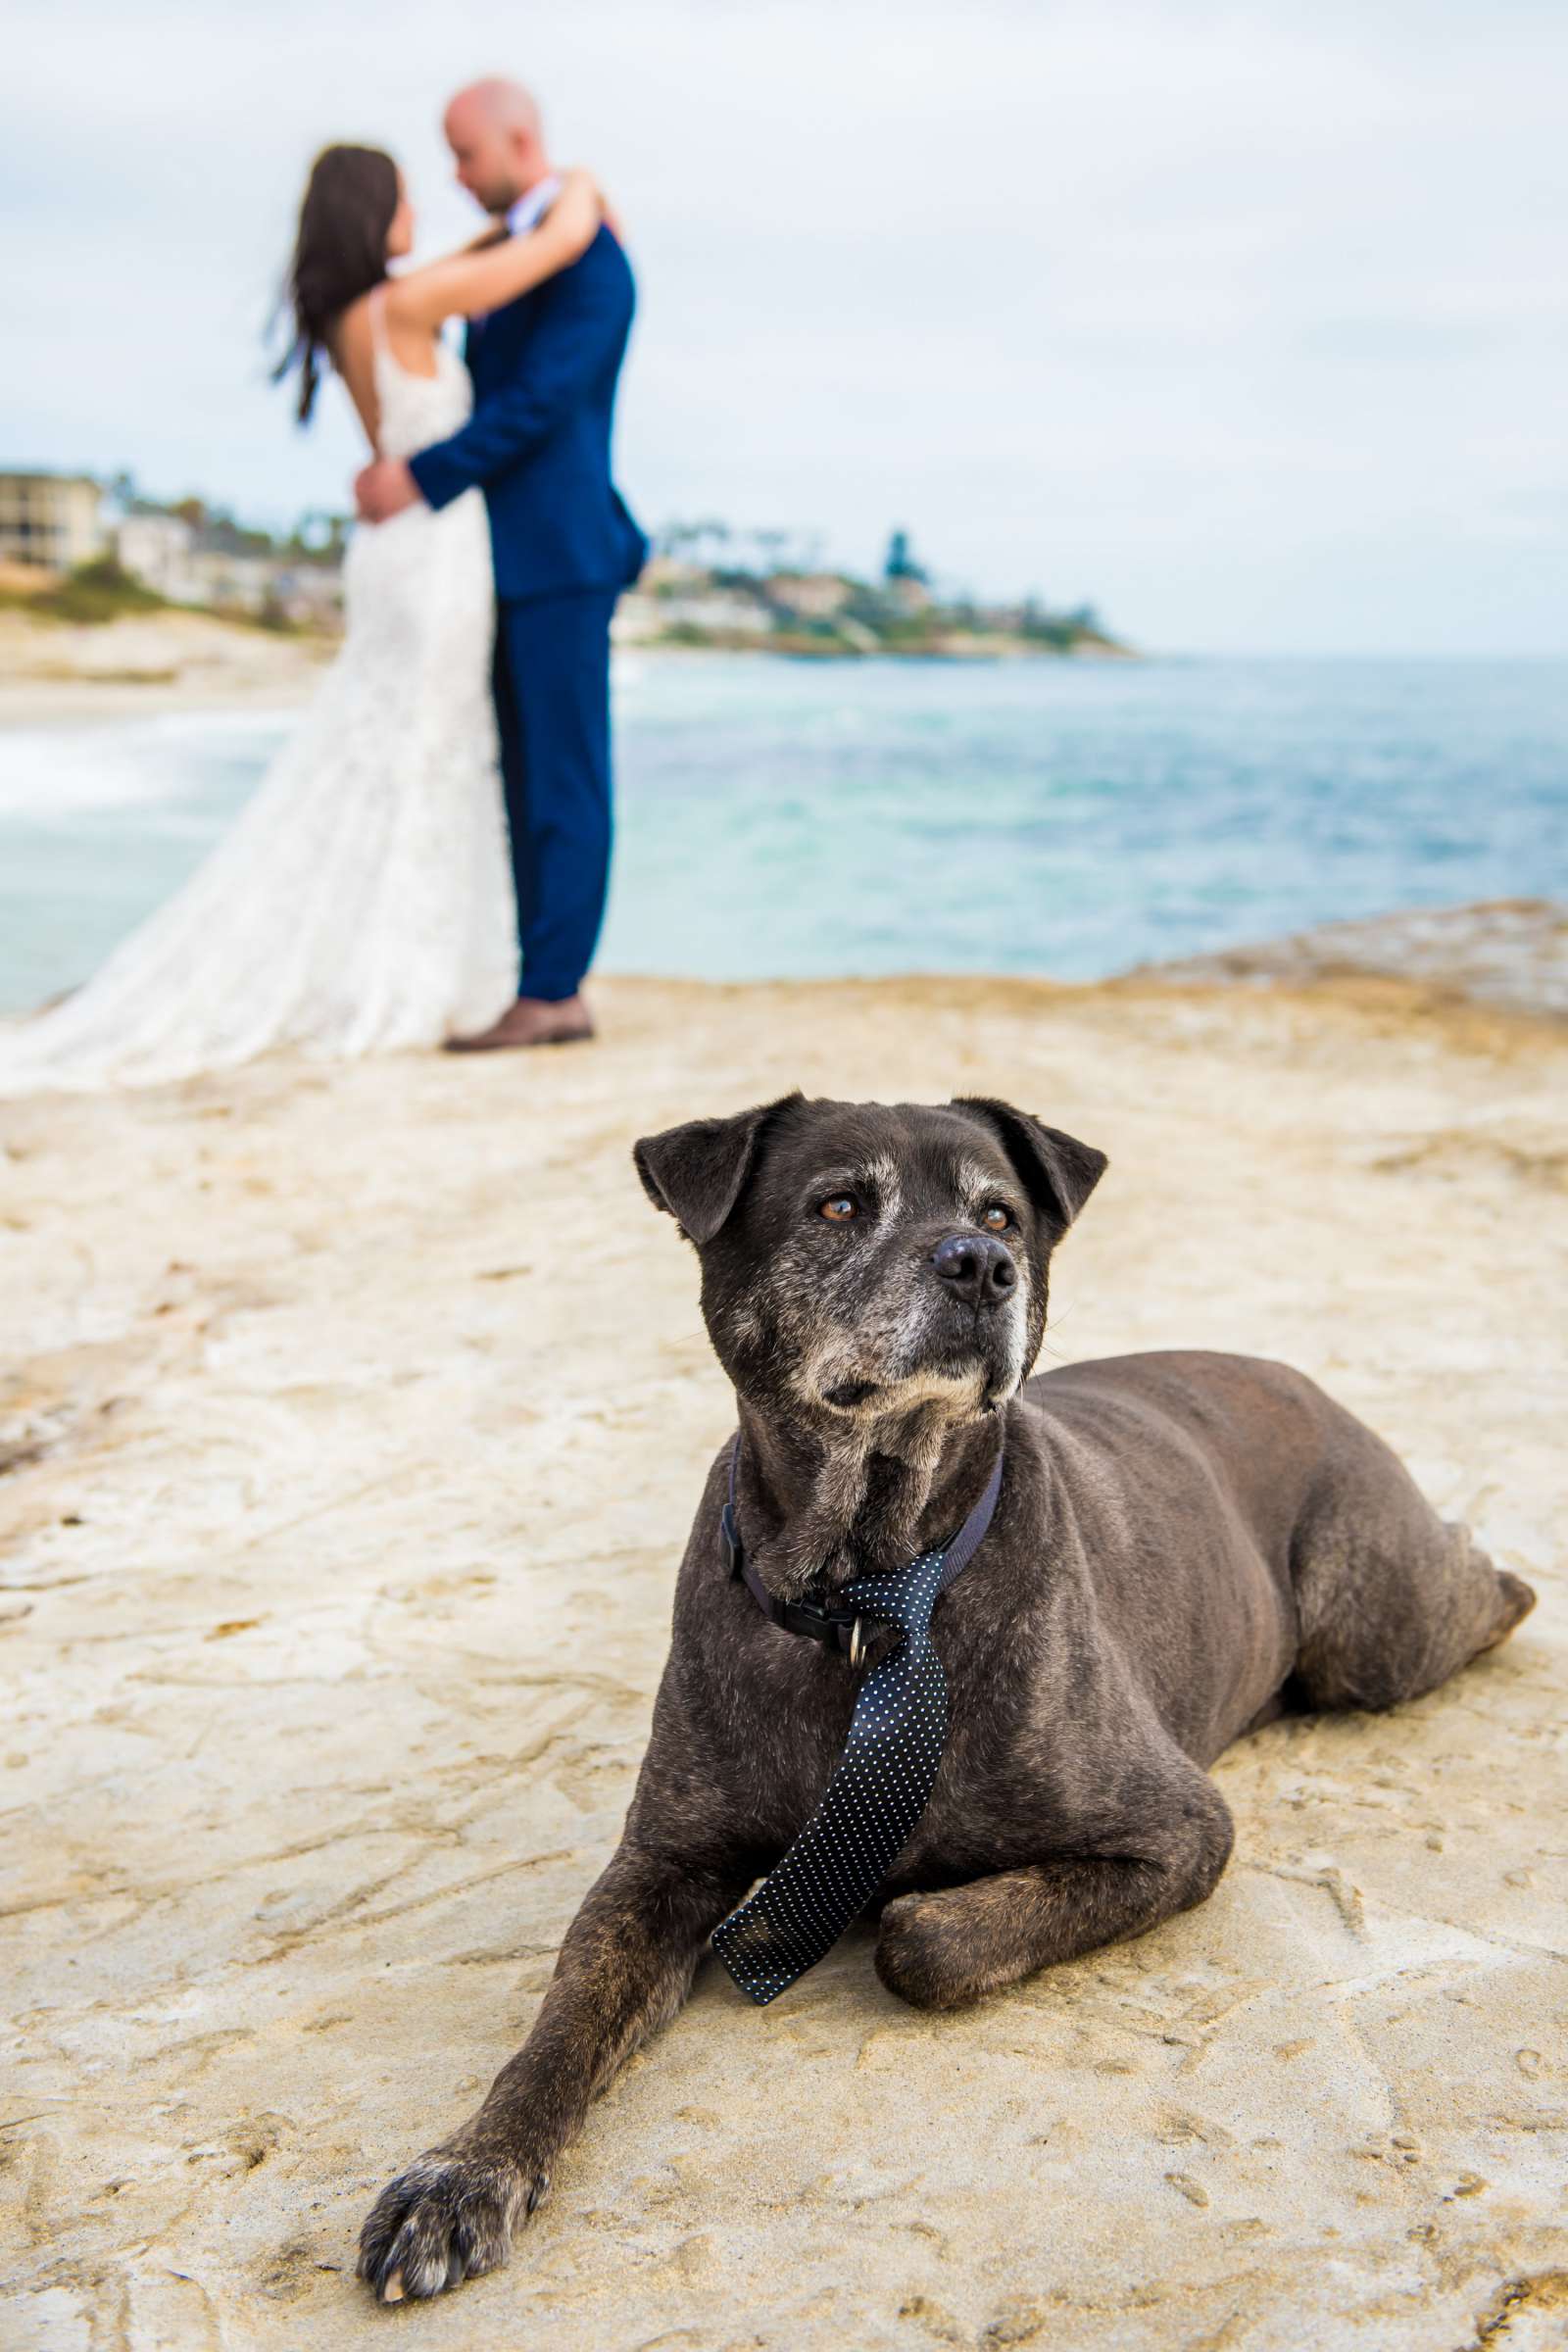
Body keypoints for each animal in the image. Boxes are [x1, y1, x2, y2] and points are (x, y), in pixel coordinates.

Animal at [355, 1096, 1533, 2295]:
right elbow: (558, 2025)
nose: (981, 1264)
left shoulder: (1179, 1828)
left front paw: (898, 1907)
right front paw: (464, 2172)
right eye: (837, 1205)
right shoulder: (660, 1865)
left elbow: (925, 1943)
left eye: (1002, 1214)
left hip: (1370, 1630)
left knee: (1496, 1593)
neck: (867, 1590)